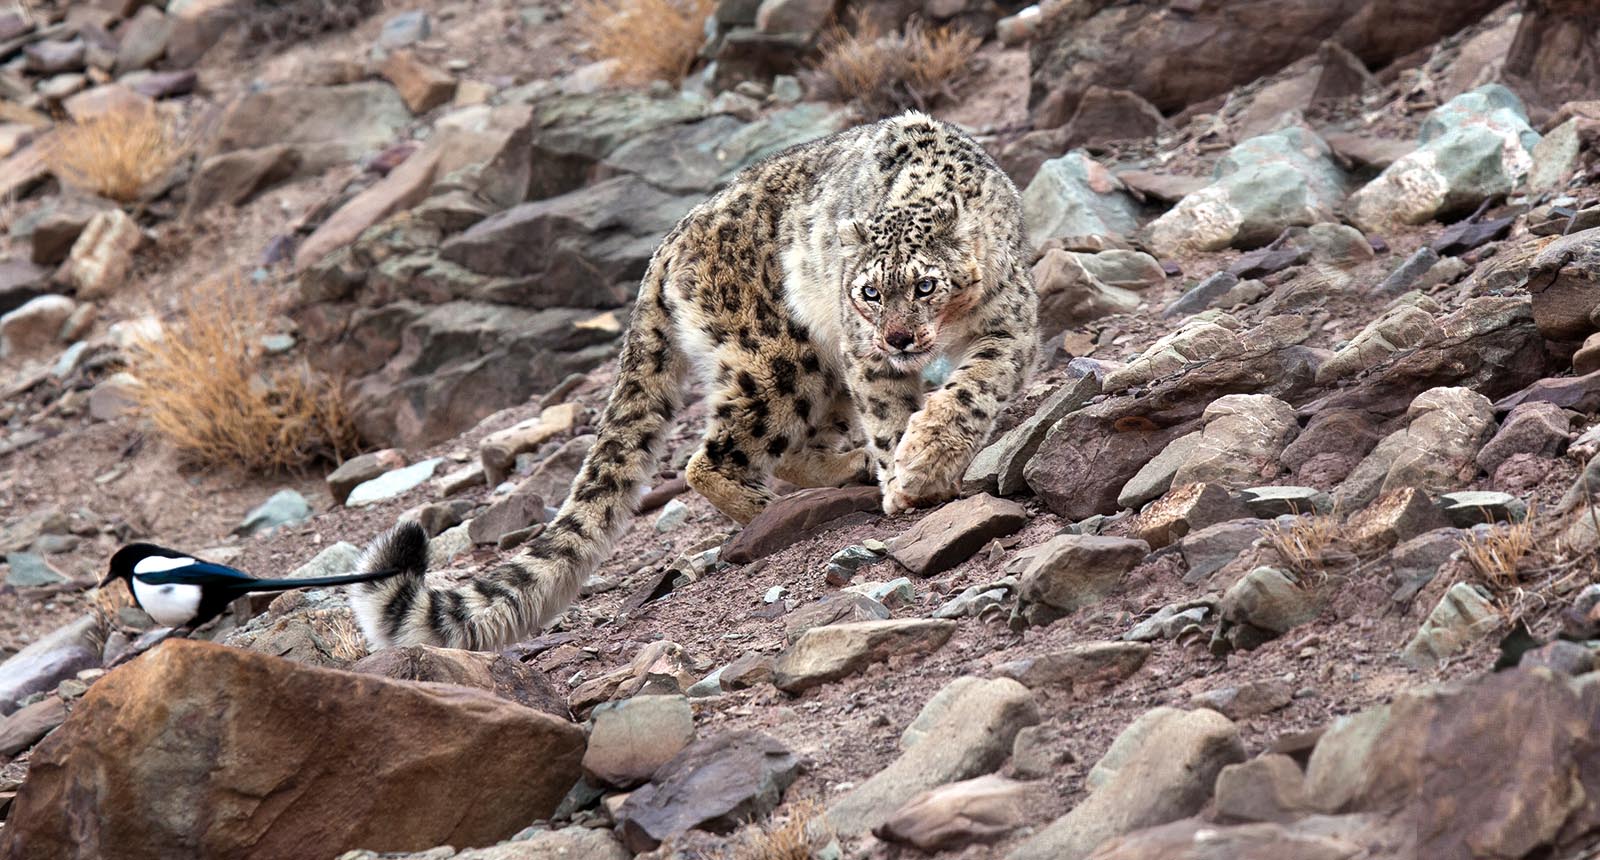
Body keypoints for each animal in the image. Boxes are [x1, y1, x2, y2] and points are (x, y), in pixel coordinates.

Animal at [350, 110, 1040, 651]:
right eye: (869, 292)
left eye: (924, 285)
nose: (897, 339)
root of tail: (671, 241)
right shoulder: (863, 356)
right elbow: (892, 414)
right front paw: (909, 480)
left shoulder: (1009, 322)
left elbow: (972, 387)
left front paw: (922, 462)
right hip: (785, 359)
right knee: (709, 459)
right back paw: (779, 510)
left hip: (815, 371)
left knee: (792, 448)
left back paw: (842, 474)